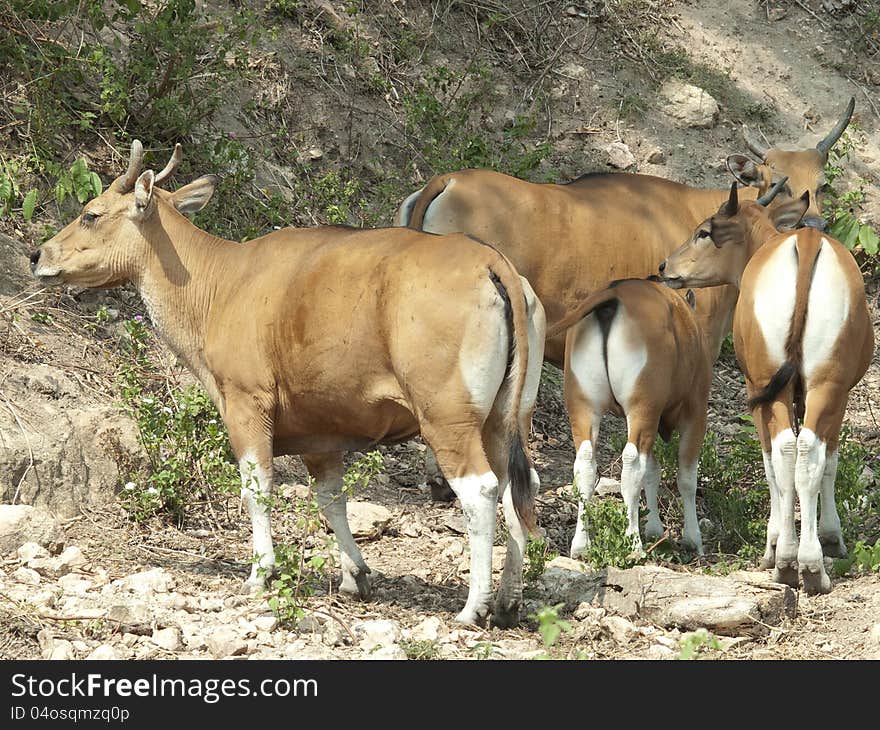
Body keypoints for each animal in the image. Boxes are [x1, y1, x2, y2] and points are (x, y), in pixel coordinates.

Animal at [660, 182, 872, 592]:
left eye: (704, 231)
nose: (665, 267)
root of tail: (805, 245)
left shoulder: (759, 387)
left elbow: (776, 463)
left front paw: (781, 543)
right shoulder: (829, 393)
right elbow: (827, 461)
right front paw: (828, 538)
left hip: (773, 384)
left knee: (787, 450)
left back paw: (791, 561)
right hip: (822, 385)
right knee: (803, 451)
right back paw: (805, 563)